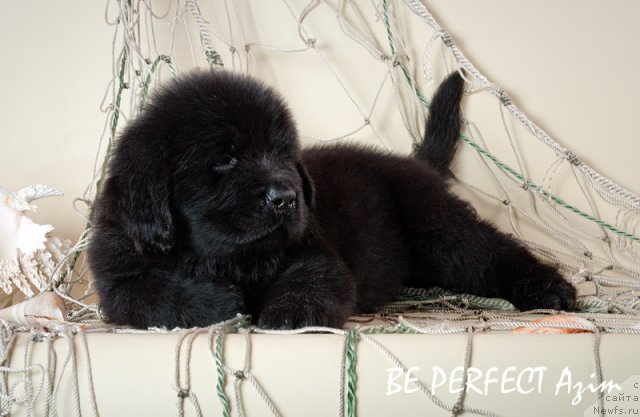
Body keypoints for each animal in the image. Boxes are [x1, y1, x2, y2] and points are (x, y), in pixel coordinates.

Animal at [86, 69, 576, 328]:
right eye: (225, 158)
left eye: (285, 154)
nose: (285, 198)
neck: (224, 258)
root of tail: (414, 163)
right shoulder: (115, 277)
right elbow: (150, 293)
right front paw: (219, 300)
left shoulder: (314, 251)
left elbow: (313, 281)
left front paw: (286, 313)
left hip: (439, 227)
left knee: (490, 252)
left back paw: (550, 288)